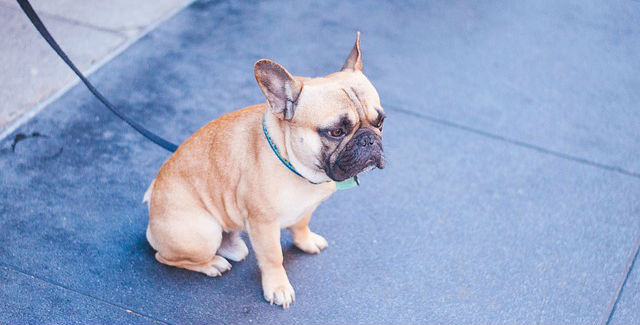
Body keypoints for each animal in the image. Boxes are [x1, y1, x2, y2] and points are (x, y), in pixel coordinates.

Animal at [145, 32, 384, 306]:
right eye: (336, 132)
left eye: (381, 122)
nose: (369, 140)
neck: (296, 167)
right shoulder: (264, 225)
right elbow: (273, 258)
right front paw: (278, 287)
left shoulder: (305, 208)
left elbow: (301, 225)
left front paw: (306, 241)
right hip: (203, 233)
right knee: (164, 257)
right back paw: (212, 264)